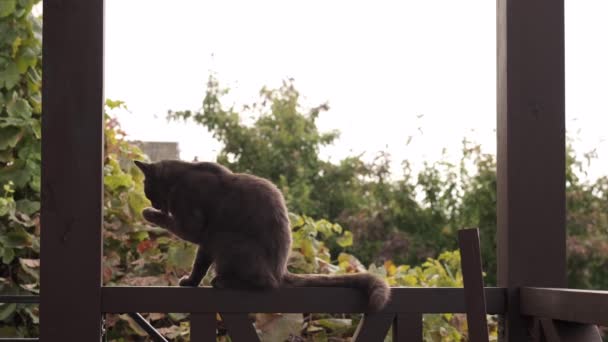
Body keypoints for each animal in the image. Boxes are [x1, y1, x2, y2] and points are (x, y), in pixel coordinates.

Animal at [134, 159, 390, 312]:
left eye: (148, 191)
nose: (152, 203)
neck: (181, 177)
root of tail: (281, 269)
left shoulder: (196, 228)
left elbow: (179, 231)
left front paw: (148, 213)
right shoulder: (206, 243)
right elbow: (199, 266)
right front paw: (191, 282)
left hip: (228, 240)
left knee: (267, 284)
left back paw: (223, 282)